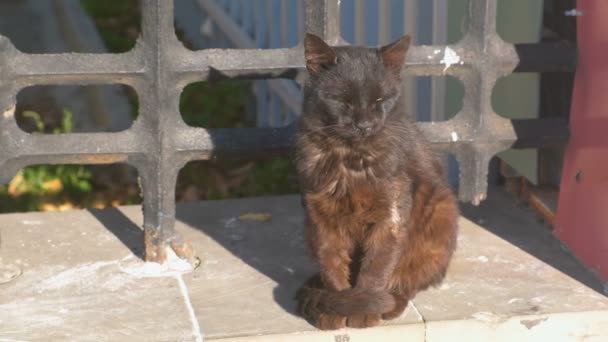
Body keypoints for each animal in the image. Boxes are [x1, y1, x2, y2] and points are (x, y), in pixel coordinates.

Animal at [294, 33, 456, 330]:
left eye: (380, 99)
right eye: (343, 101)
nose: (365, 124)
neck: (351, 161)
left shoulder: (390, 217)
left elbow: (376, 268)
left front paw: (361, 311)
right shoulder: (320, 216)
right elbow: (332, 264)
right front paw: (337, 307)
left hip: (440, 212)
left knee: (409, 278)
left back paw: (390, 304)